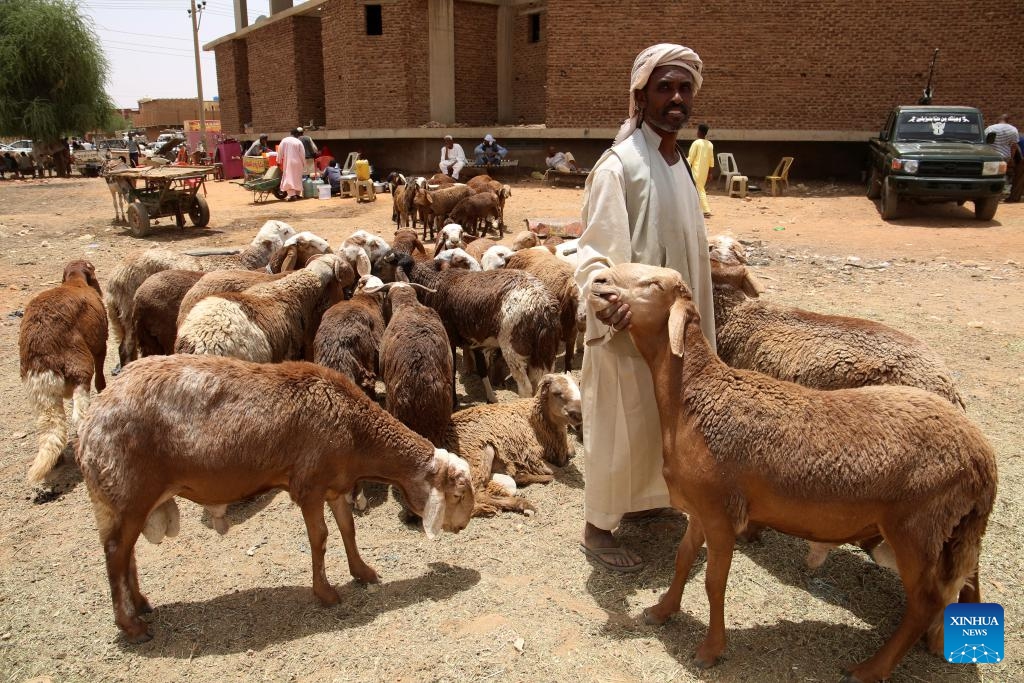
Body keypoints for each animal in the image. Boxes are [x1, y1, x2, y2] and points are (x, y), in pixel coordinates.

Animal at [19, 260, 108, 485]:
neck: (75, 281)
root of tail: (42, 353)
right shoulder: (101, 344)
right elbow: (101, 377)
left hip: (38, 390)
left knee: (49, 424)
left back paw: (57, 459)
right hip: (79, 366)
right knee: (79, 415)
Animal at [75, 353, 474, 643]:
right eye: (457, 494)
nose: (463, 527)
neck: (357, 433)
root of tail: (91, 421)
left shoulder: (335, 484)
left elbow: (348, 529)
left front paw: (363, 573)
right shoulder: (309, 485)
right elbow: (321, 538)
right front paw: (326, 593)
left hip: (128, 498)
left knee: (126, 556)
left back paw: (141, 605)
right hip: (127, 490)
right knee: (115, 556)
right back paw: (131, 626)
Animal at [443, 374, 582, 516]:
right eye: (556, 393)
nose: (579, 414)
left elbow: (571, 452)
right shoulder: (533, 457)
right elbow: (560, 472)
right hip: (477, 453)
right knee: (477, 493)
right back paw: (522, 504)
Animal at [588, 262, 997, 682]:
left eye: (654, 283)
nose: (599, 280)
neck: (692, 398)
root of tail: (983, 459)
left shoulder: (721, 512)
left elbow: (714, 582)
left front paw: (710, 649)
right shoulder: (700, 508)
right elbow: (683, 559)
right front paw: (662, 610)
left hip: (917, 527)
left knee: (925, 601)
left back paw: (871, 668)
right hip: (952, 529)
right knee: (965, 575)